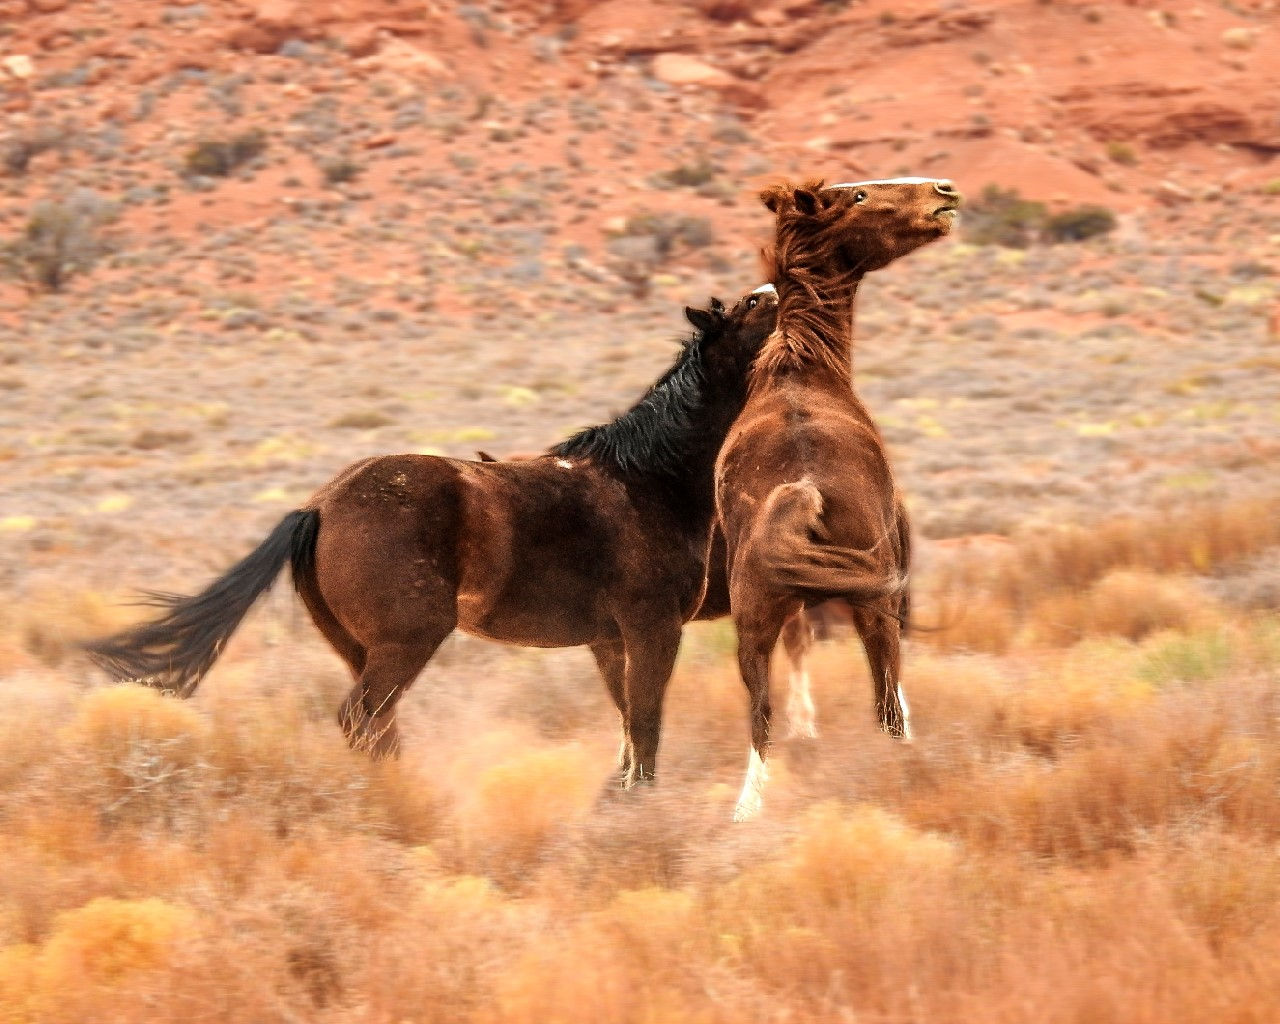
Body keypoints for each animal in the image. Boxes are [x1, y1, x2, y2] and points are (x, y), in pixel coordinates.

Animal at [86, 286, 779, 788]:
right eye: (750, 308)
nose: (775, 288)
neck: (649, 478)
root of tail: (319, 507)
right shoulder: (652, 628)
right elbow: (647, 724)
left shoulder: (610, 640)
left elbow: (629, 729)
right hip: (406, 641)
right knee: (362, 719)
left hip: (361, 648)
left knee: (378, 726)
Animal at [715, 177, 961, 820]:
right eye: (859, 196)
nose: (944, 192)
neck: (801, 366)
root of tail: (804, 490)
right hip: (874, 606)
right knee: (888, 708)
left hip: (753, 622)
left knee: (760, 716)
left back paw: (747, 810)